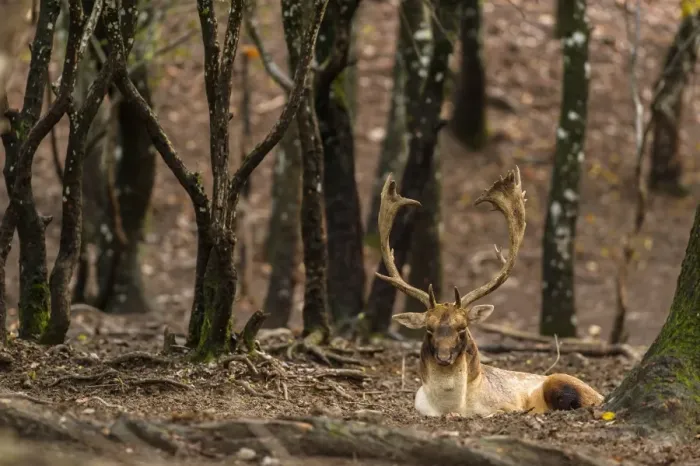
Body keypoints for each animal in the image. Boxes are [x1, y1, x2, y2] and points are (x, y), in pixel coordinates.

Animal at [376, 167, 604, 418]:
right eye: (428, 329)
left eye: (462, 327)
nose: (444, 357)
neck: (453, 406)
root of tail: (602, 396)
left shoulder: (505, 406)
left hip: (562, 381)